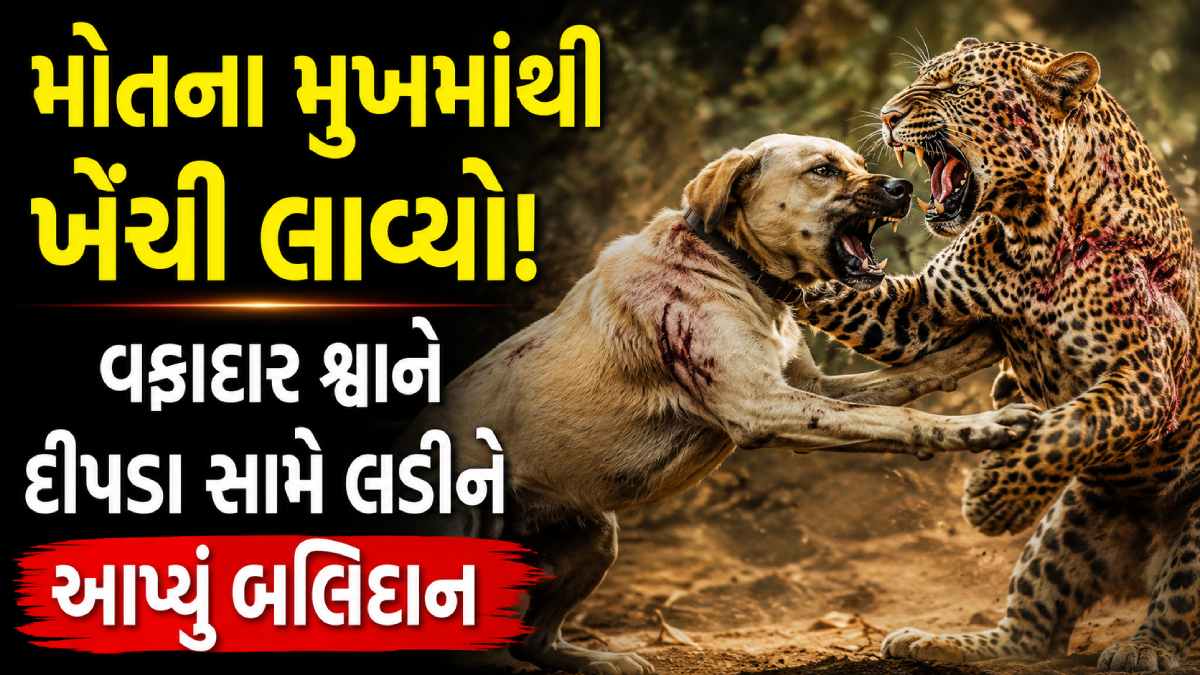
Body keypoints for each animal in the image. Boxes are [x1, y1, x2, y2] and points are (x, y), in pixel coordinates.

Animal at [792, 38, 1199, 671]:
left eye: (956, 89)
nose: (886, 116)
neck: (1029, 230)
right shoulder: (920, 313)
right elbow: (848, 297)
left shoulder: (1146, 377)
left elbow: (1068, 427)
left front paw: (991, 498)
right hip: (1067, 528)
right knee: (1031, 633)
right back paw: (935, 642)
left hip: (1191, 536)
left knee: (1177, 598)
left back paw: (1145, 648)